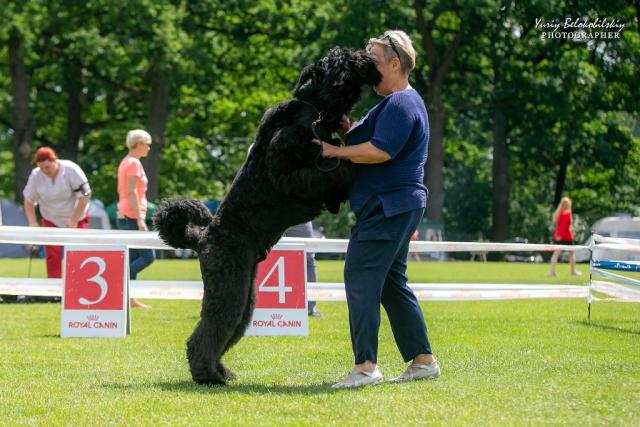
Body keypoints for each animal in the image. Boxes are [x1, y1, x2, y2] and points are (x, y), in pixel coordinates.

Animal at [154, 47, 380, 388]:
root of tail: (202, 237)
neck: (311, 111)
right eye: (337, 60)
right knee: (206, 334)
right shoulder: (287, 176)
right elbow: (331, 169)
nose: (360, 54)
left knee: (226, 331)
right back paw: (208, 375)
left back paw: (221, 371)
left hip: (245, 296)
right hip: (229, 288)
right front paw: (348, 169)